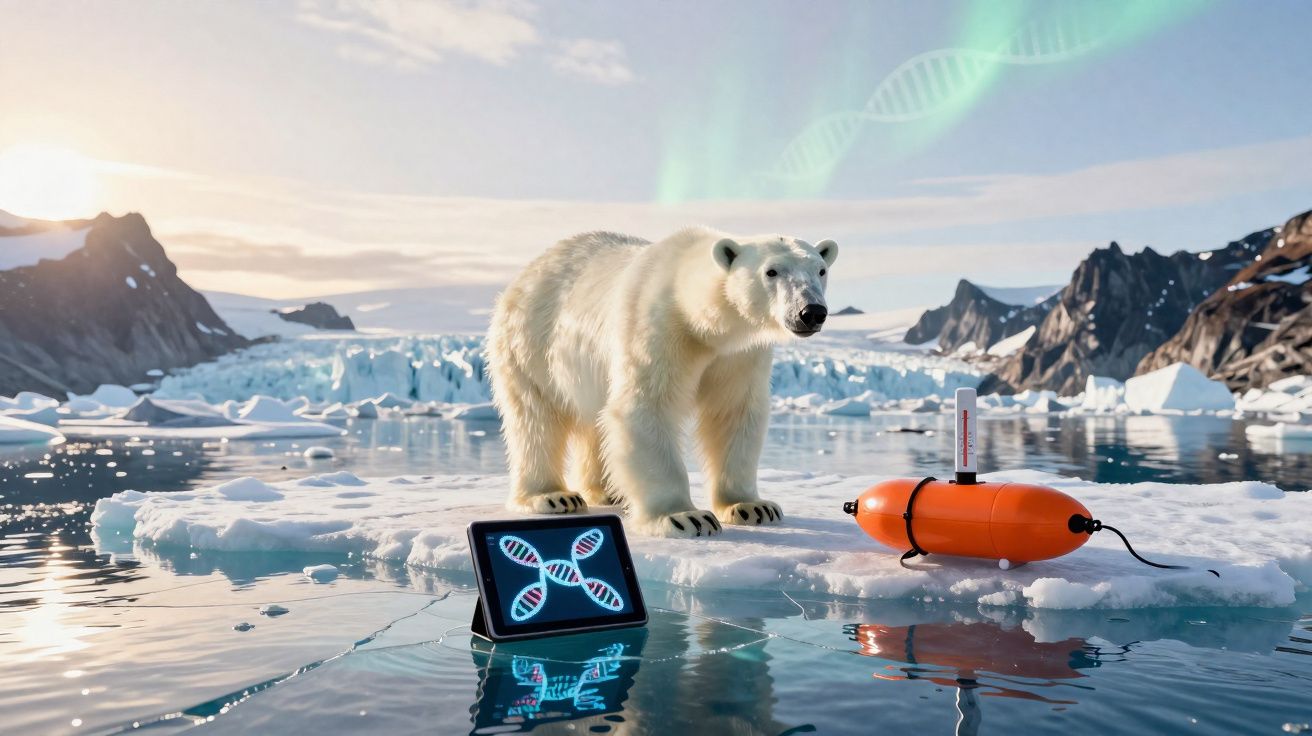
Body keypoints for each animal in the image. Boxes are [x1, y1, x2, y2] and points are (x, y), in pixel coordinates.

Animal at [486, 227, 837, 537]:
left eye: (820, 269)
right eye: (772, 271)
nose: (811, 312)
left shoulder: (738, 353)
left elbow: (733, 412)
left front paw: (752, 507)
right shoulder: (658, 329)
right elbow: (647, 407)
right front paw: (684, 517)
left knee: (593, 422)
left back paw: (609, 491)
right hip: (531, 345)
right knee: (536, 419)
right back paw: (552, 496)